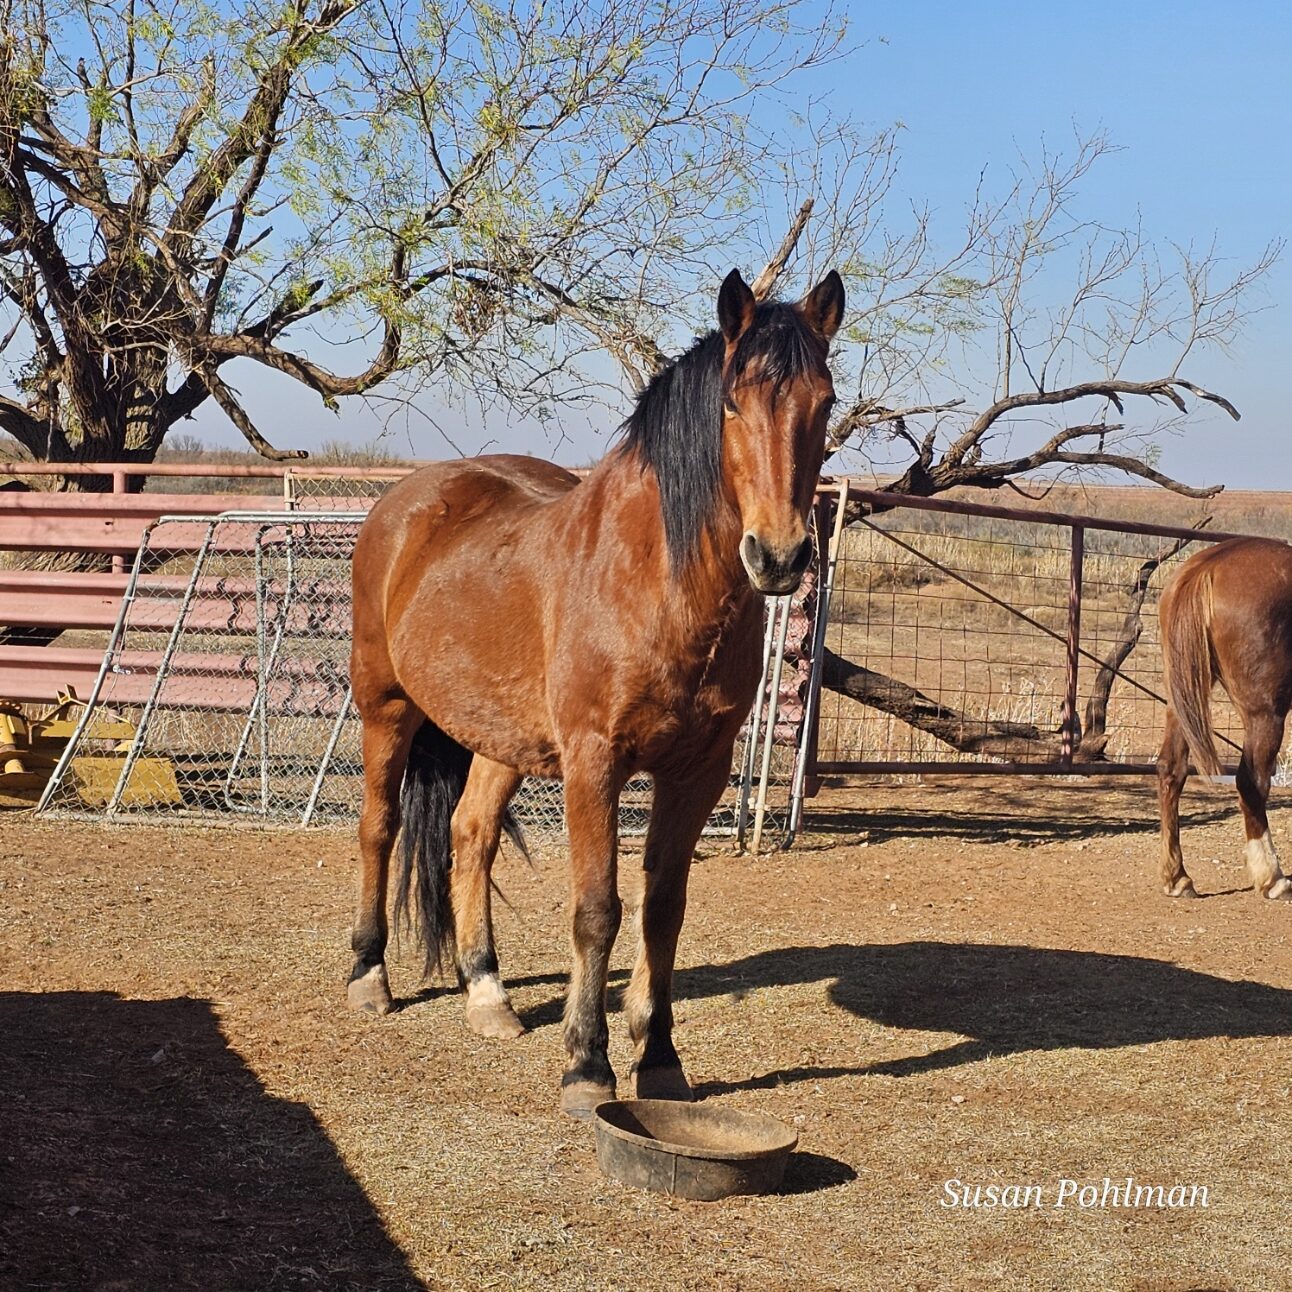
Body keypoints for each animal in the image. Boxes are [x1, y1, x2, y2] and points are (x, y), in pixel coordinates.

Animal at [346, 268, 844, 1116]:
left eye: (827, 401)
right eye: (732, 402)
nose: (778, 557)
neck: (656, 582)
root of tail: (408, 501)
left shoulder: (698, 771)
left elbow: (664, 908)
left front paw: (661, 1060)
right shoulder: (594, 763)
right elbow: (597, 909)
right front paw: (587, 1064)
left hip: (501, 737)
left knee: (470, 834)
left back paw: (487, 993)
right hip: (385, 707)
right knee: (379, 827)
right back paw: (368, 976)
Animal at [1157, 536, 1292, 901]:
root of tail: (1208, 565)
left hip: (1183, 695)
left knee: (1170, 769)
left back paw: (1177, 877)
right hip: (1265, 712)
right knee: (1250, 781)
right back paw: (1272, 878)